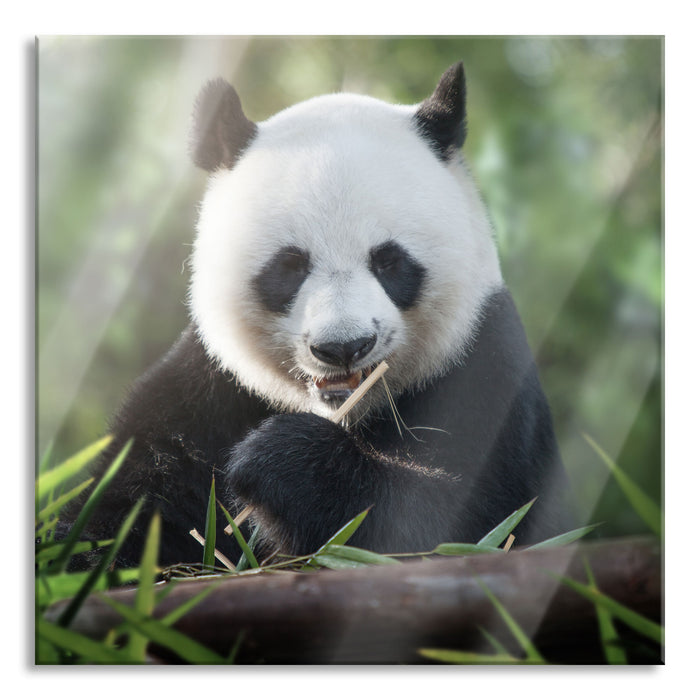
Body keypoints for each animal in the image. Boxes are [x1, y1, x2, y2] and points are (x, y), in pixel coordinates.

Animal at [64, 62, 570, 568]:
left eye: (389, 261)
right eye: (290, 265)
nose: (344, 347)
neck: (344, 411)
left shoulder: (483, 369)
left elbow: (461, 522)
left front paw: (280, 461)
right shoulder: (210, 388)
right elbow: (125, 502)